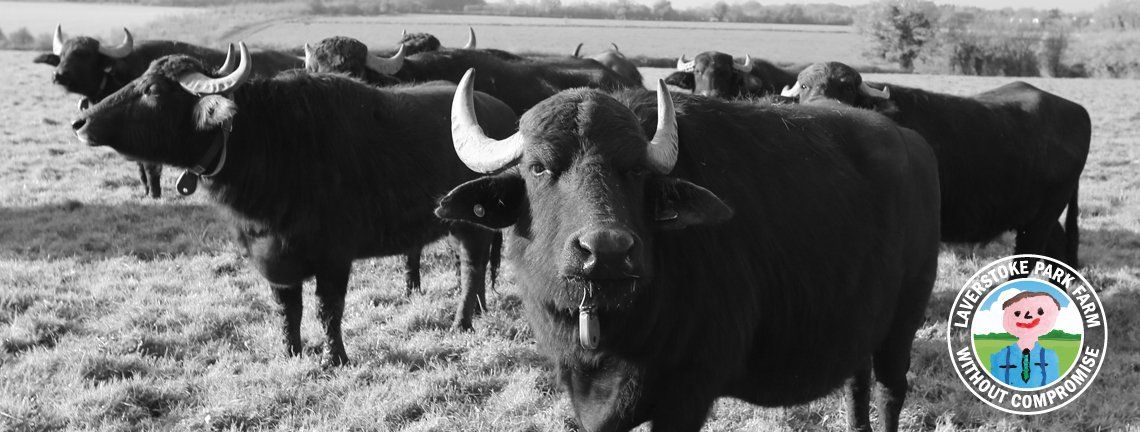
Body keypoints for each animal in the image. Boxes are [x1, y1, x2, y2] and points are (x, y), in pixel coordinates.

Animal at [37, 25, 303, 198]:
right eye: (62, 55)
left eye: (83, 54)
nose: (58, 75)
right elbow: (140, 170)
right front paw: (146, 192)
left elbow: (151, 168)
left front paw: (154, 194)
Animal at [68, 45, 518, 366]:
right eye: (139, 78)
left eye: (153, 91)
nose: (81, 122)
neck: (269, 141)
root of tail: (502, 112)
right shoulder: (273, 258)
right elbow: (288, 310)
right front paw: (291, 353)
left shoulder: (334, 256)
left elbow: (327, 309)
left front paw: (334, 359)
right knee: (474, 264)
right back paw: (479, 310)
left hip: (471, 223)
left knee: (471, 266)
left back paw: (461, 322)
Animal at [435, 69, 941, 431]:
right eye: (539, 168)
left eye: (636, 171)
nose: (607, 251)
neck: (615, 330)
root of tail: (915, 145)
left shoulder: (688, 393)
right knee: (856, 388)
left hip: (905, 320)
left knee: (889, 392)